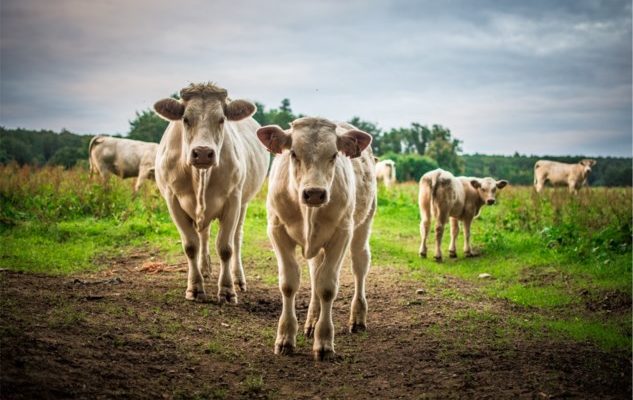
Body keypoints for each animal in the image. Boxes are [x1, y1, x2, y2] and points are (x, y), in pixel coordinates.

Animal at [154, 83, 270, 304]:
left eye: (222, 119)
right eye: (185, 119)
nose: (202, 153)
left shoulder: (233, 200)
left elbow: (226, 247)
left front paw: (227, 290)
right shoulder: (173, 200)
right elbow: (191, 245)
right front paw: (195, 287)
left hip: (243, 203)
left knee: (236, 238)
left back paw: (238, 279)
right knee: (203, 235)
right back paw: (204, 269)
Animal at [256, 117, 376, 360]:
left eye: (334, 154)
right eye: (293, 153)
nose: (314, 193)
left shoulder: (341, 233)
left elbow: (327, 287)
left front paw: (324, 342)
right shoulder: (276, 230)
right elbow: (289, 284)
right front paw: (285, 338)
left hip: (363, 225)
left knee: (359, 264)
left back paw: (358, 318)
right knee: (314, 273)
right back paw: (311, 322)